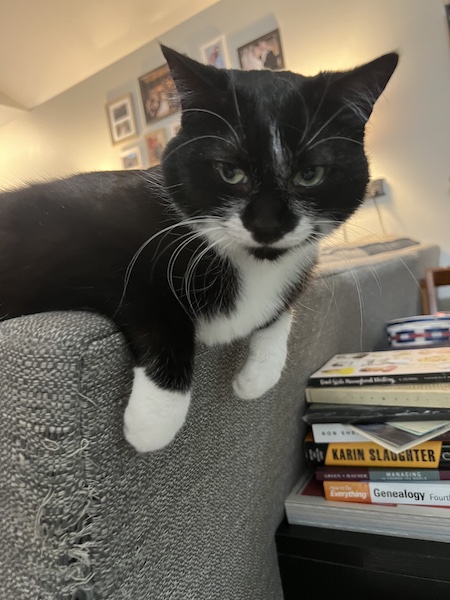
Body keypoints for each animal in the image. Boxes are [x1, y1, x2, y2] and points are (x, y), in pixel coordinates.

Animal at [0, 45, 398, 450]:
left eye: (310, 175)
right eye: (229, 172)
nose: (267, 225)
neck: (247, 262)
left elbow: (281, 309)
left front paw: (257, 377)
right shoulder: (75, 244)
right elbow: (155, 301)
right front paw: (154, 420)